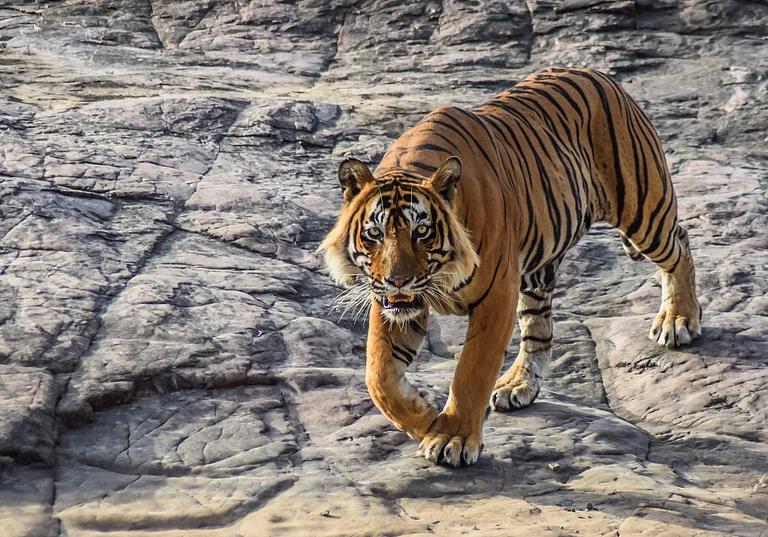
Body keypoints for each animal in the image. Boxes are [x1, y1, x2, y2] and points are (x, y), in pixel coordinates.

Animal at [318, 67, 702, 467]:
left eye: (422, 232)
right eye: (374, 234)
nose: (399, 280)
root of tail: (599, 73)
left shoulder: (497, 295)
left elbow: (471, 371)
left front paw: (452, 438)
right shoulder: (391, 302)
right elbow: (379, 375)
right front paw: (423, 417)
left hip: (645, 211)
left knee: (680, 245)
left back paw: (678, 321)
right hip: (538, 268)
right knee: (538, 330)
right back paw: (519, 384)